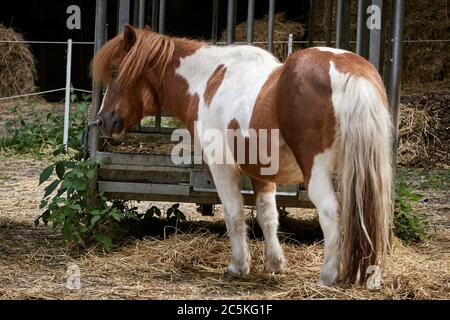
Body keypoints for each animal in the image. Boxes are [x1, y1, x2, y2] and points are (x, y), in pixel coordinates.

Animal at [92, 24, 394, 284]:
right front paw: (274, 264)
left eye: (116, 73)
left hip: (317, 172)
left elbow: (234, 214)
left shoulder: (222, 168)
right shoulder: (263, 173)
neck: (207, 83)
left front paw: (239, 265)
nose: (103, 121)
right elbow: (267, 217)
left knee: (331, 213)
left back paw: (327, 277)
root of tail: (349, 70)